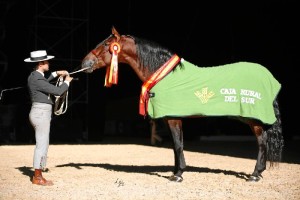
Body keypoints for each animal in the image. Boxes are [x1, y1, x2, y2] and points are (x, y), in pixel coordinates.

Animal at [81, 26, 284, 183]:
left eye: (106, 45)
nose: (85, 63)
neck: (165, 75)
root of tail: (268, 76)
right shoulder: (170, 119)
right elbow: (174, 146)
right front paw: (176, 171)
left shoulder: (173, 118)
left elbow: (178, 145)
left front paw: (178, 175)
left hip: (252, 118)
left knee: (262, 142)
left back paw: (255, 174)